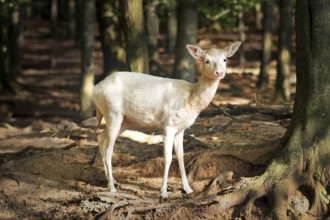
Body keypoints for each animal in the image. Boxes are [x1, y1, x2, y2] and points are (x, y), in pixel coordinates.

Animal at [91, 41, 241, 201]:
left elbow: (181, 156)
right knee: (109, 148)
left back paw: (112, 180)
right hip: (113, 112)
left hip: (126, 120)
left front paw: (188, 189)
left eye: (225, 59)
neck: (190, 99)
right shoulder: (168, 124)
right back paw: (111, 188)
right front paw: (163, 193)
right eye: (206, 60)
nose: (220, 73)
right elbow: (168, 157)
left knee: (101, 137)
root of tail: (95, 89)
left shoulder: (181, 128)